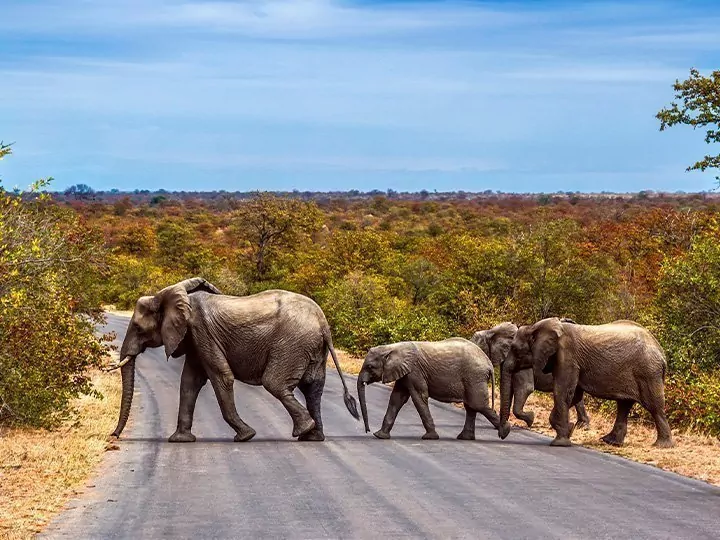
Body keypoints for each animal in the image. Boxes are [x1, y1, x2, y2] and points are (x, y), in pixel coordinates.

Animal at [109, 278, 360, 442]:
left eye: (139, 329)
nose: (113, 436)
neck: (169, 295)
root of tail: (323, 322)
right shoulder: (195, 339)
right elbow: (189, 382)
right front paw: (180, 440)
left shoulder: (201, 332)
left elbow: (221, 377)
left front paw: (246, 436)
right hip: (312, 348)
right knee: (313, 387)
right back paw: (312, 437)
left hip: (292, 343)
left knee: (275, 383)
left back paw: (302, 431)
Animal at [356, 340, 500, 440]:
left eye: (370, 367)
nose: (368, 430)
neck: (392, 348)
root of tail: (488, 363)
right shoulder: (404, 373)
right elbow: (396, 399)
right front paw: (379, 436)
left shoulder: (414, 371)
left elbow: (419, 397)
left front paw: (430, 437)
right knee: (471, 406)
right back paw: (465, 438)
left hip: (474, 376)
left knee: (477, 404)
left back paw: (503, 433)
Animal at [498, 316, 672, 448]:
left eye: (515, 349)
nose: (504, 433)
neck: (537, 327)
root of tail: (661, 351)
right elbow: (573, 394)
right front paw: (569, 430)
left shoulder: (567, 356)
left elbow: (562, 391)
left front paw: (560, 442)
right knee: (624, 405)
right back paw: (610, 441)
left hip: (648, 372)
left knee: (654, 406)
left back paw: (661, 445)